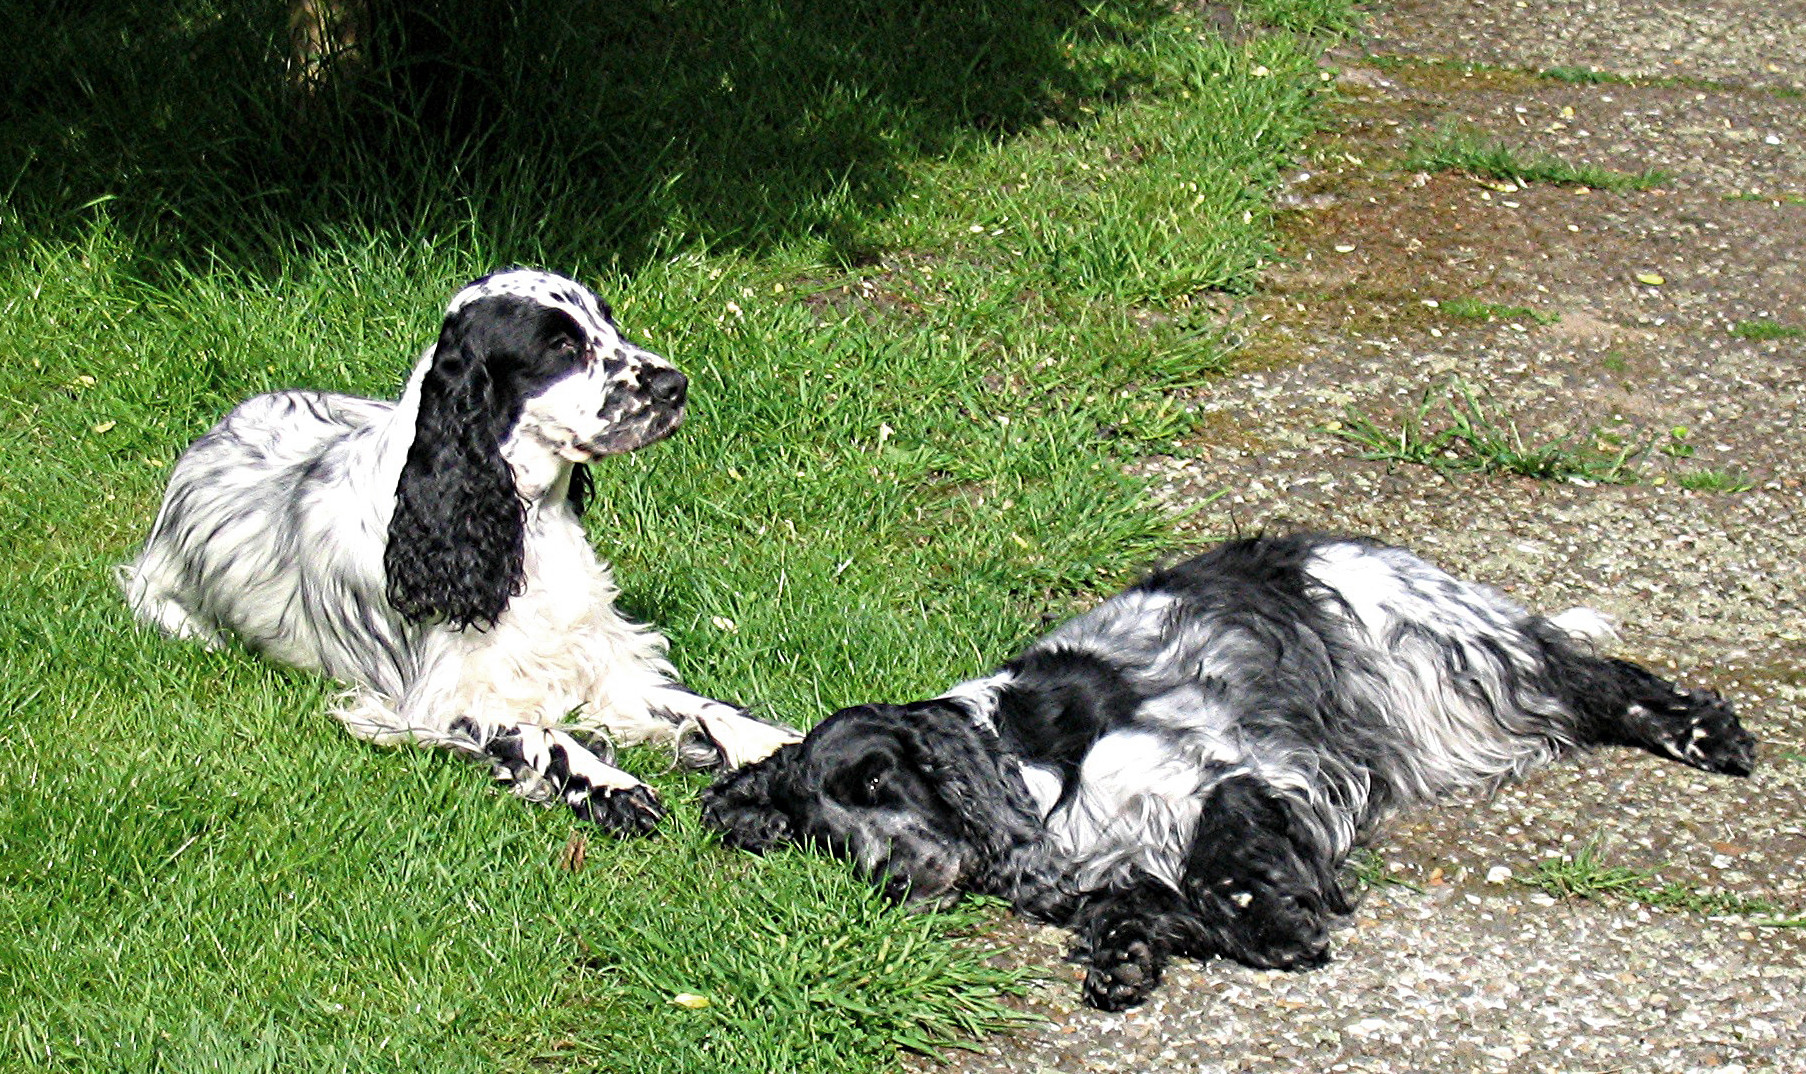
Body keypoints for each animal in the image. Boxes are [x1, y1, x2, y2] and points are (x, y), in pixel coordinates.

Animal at [125, 270, 798, 841]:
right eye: (561, 346)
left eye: (608, 322)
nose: (674, 385)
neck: (525, 521)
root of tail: (216, 430)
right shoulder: (439, 702)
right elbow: (542, 734)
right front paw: (609, 784)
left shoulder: (605, 662)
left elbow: (698, 704)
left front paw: (773, 747)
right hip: (166, 608)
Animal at [697, 534, 1755, 1010]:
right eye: (830, 840)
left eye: (881, 785)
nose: (889, 879)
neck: (1030, 768)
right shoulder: (1113, 859)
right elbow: (1134, 902)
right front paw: (1126, 955)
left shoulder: (1225, 772)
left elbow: (1227, 859)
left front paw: (1275, 923)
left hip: (1455, 655)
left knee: (1596, 678)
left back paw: (1707, 736)